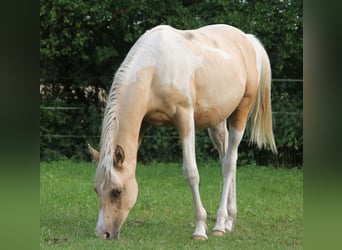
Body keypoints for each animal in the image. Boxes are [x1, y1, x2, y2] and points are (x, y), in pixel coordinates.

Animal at [88, 23, 278, 240]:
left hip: (241, 112)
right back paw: (229, 220)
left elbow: (191, 172)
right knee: (226, 158)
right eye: (96, 189)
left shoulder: (185, 118)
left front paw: (200, 229)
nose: (103, 233)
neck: (155, 69)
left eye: (117, 191)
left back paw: (220, 224)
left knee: (229, 163)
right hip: (217, 121)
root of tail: (247, 40)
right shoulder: (143, 123)